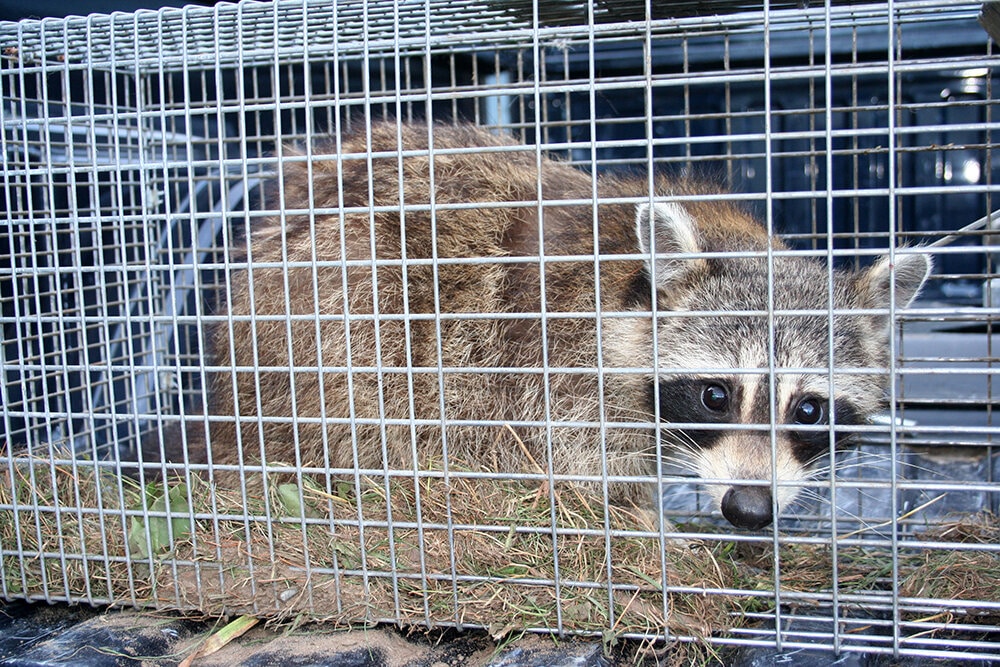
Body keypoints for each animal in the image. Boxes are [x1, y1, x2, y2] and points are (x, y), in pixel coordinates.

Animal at [180, 122, 930, 530]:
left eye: (809, 409)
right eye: (717, 395)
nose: (748, 508)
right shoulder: (559, 364)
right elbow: (580, 465)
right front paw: (644, 522)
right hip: (328, 315)